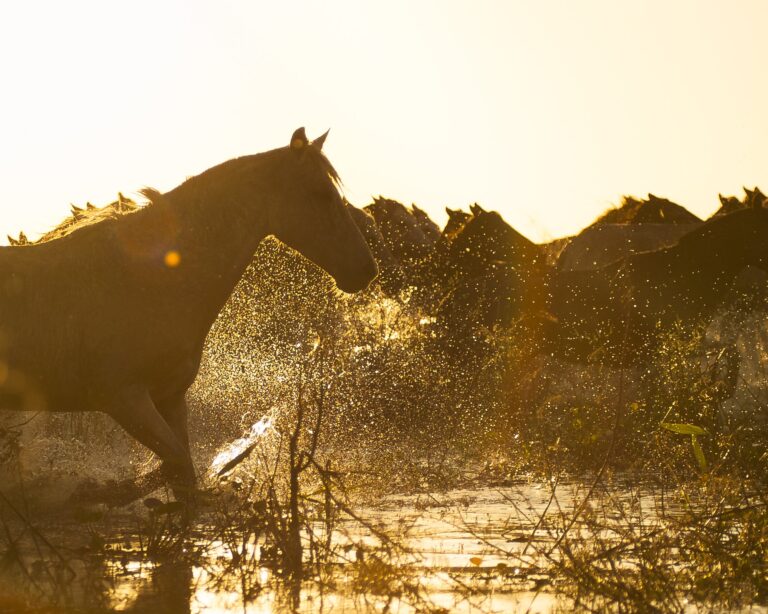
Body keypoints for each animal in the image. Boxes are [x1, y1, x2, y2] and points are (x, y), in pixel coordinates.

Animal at [0, 127, 377, 492]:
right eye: (320, 194)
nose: (366, 269)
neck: (147, 279)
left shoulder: (169, 399)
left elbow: (183, 474)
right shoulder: (123, 398)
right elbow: (175, 463)